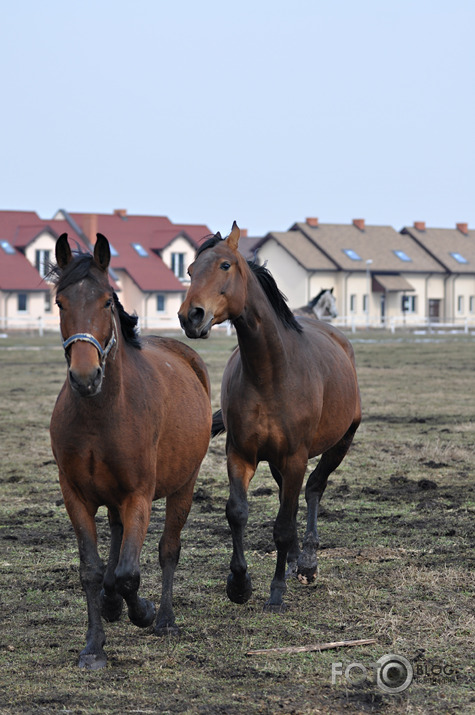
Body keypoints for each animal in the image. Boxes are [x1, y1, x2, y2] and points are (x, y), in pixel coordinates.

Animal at [49, 235, 211, 672]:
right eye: (60, 302)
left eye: (107, 301)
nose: (85, 376)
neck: (101, 414)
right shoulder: (76, 496)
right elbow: (92, 570)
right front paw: (93, 646)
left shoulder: (138, 495)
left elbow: (127, 573)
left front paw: (143, 610)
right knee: (117, 543)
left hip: (182, 486)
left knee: (168, 549)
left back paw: (164, 619)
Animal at [180, 222, 362, 608]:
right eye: (189, 270)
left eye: (225, 265)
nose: (191, 316)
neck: (270, 373)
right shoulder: (240, 454)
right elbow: (237, 513)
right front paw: (239, 583)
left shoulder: (295, 457)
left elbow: (283, 524)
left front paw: (276, 591)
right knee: (288, 499)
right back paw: (294, 561)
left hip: (340, 441)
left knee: (313, 489)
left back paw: (307, 561)